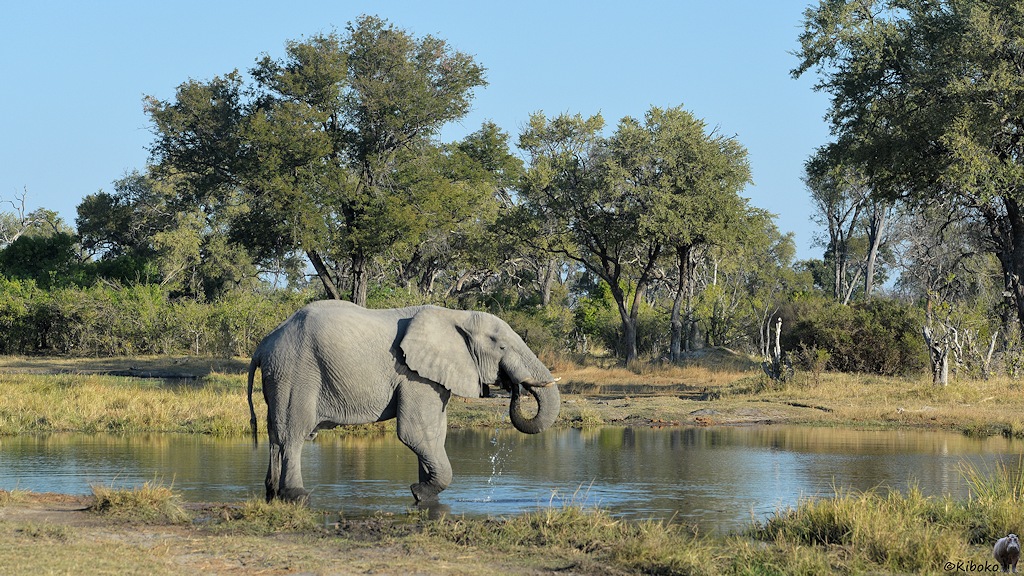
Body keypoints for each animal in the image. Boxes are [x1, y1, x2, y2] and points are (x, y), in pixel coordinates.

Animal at [246, 300, 561, 504]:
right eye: (502, 347)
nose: (513, 386)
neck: (455, 316)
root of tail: (264, 344)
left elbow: (435, 433)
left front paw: (423, 491)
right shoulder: (413, 375)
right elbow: (415, 432)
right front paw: (419, 492)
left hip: (280, 375)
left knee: (275, 433)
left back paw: (272, 493)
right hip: (296, 371)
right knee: (293, 434)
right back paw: (296, 496)